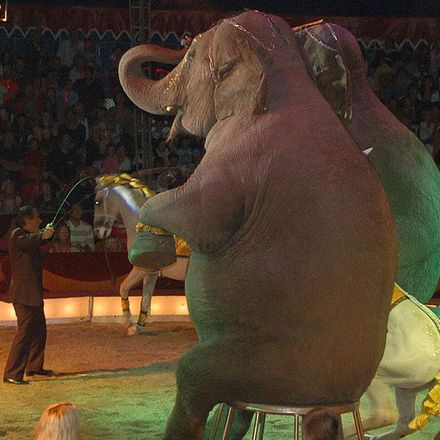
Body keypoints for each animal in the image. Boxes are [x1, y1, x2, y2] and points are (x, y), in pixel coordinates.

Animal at [93, 174, 188, 336]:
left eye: (97, 201)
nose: (98, 232)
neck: (143, 227)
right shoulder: (151, 272)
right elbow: (145, 299)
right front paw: (138, 326)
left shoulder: (141, 268)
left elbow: (124, 287)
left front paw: (128, 324)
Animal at [118, 10, 398, 440]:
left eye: (193, 55)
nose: (179, 40)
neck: (284, 71)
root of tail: (341, 395)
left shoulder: (237, 154)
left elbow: (194, 211)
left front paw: (148, 250)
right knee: (238, 407)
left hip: (269, 365)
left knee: (193, 376)